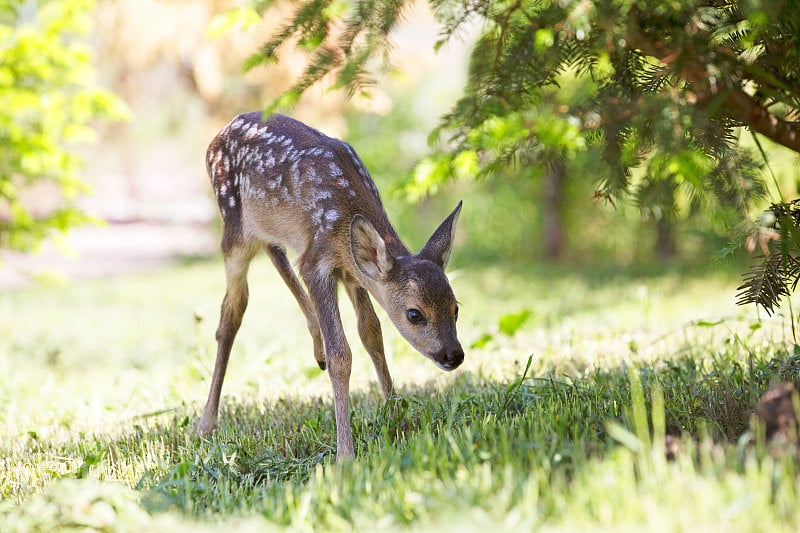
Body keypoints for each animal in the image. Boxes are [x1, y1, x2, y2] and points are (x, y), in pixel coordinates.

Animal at [196, 111, 466, 458]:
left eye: (455, 308)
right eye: (414, 314)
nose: (453, 354)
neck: (344, 217)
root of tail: (218, 134)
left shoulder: (353, 270)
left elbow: (372, 334)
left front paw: (397, 417)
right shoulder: (318, 263)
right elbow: (342, 355)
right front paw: (345, 455)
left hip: (269, 227)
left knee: (274, 252)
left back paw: (316, 347)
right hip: (233, 227)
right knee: (232, 310)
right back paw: (206, 422)